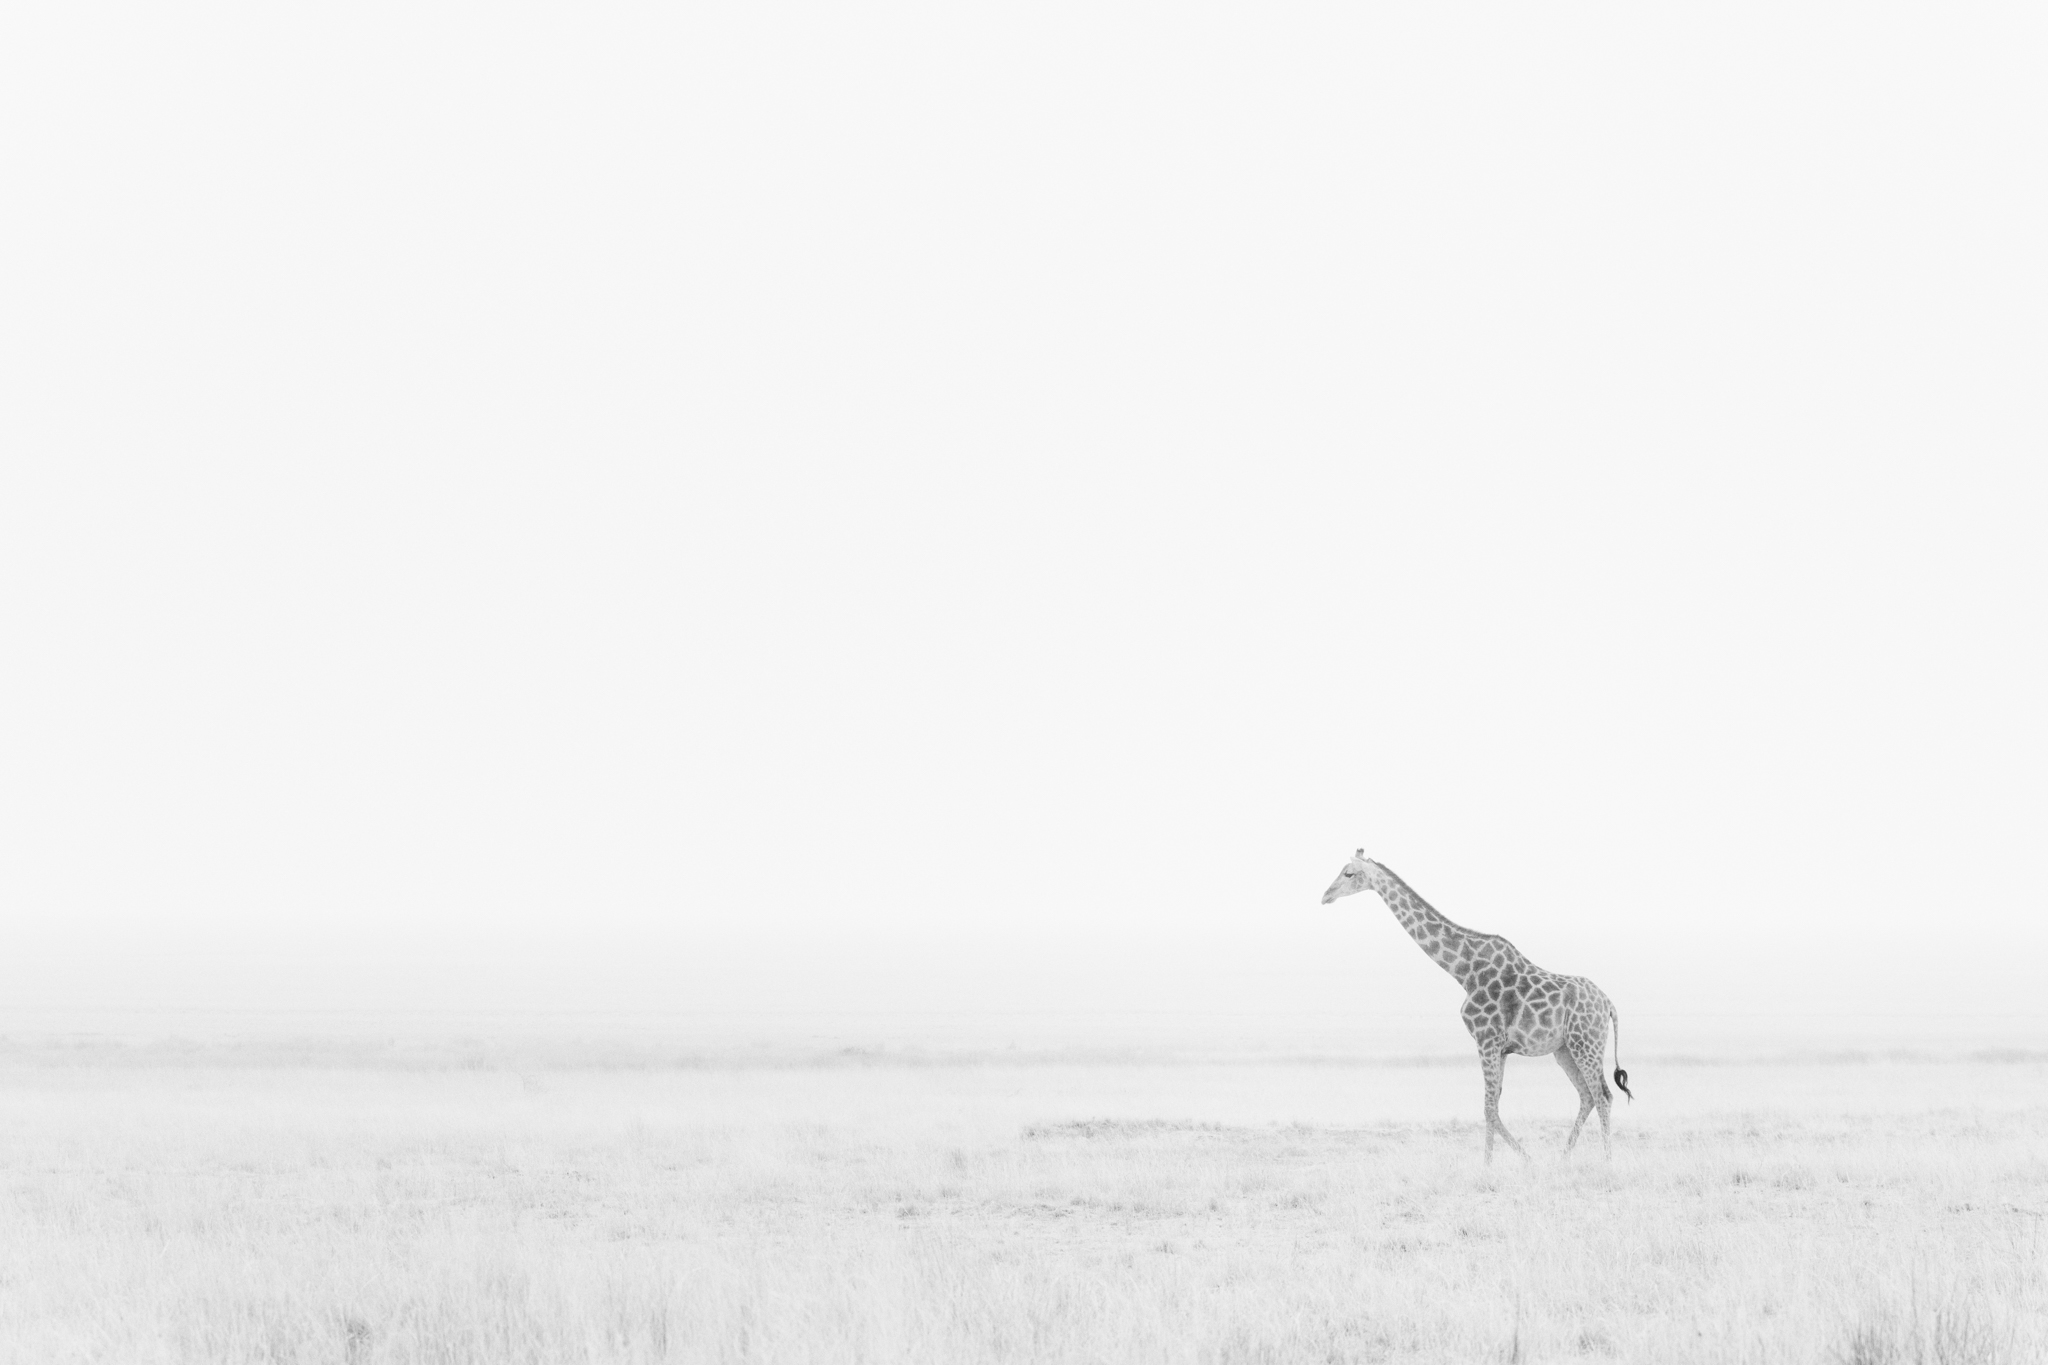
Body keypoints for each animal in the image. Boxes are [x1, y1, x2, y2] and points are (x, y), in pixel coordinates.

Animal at [1321, 851, 1631, 1162]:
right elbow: (1494, 1106)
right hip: (1565, 1049)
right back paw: (1563, 1157)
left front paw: (1497, 1164)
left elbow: (1488, 1108)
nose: (1326, 895)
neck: (1464, 971)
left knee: (1603, 1096)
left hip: (1585, 1043)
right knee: (1588, 1095)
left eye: (1349, 873)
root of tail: (1608, 1003)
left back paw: (1607, 1161)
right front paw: (1519, 1160)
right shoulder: (1500, 1048)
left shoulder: (1486, 1040)